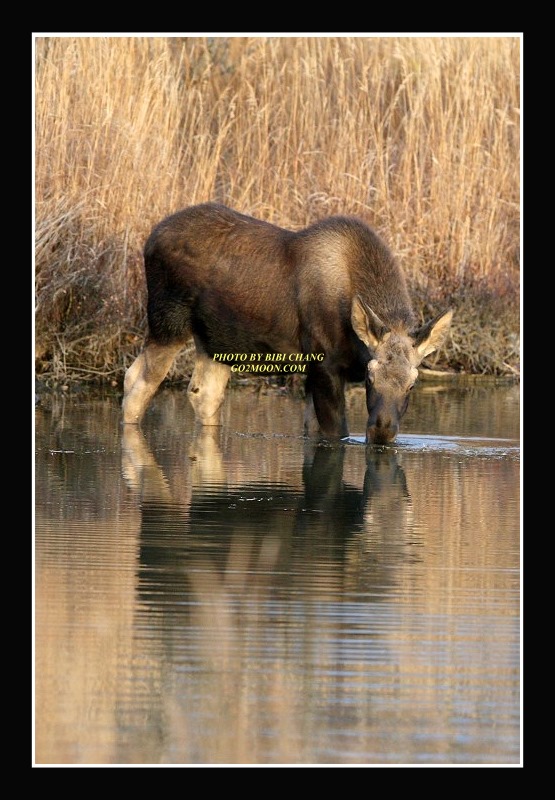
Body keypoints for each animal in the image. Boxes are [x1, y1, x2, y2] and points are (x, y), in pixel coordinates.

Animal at [122, 203, 452, 444]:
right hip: (167, 323)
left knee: (204, 394)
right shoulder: (325, 365)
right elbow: (337, 433)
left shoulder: (314, 374)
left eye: (412, 384)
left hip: (214, 342)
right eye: (370, 379)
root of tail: (150, 238)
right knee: (136, 382)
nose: (382, 432)